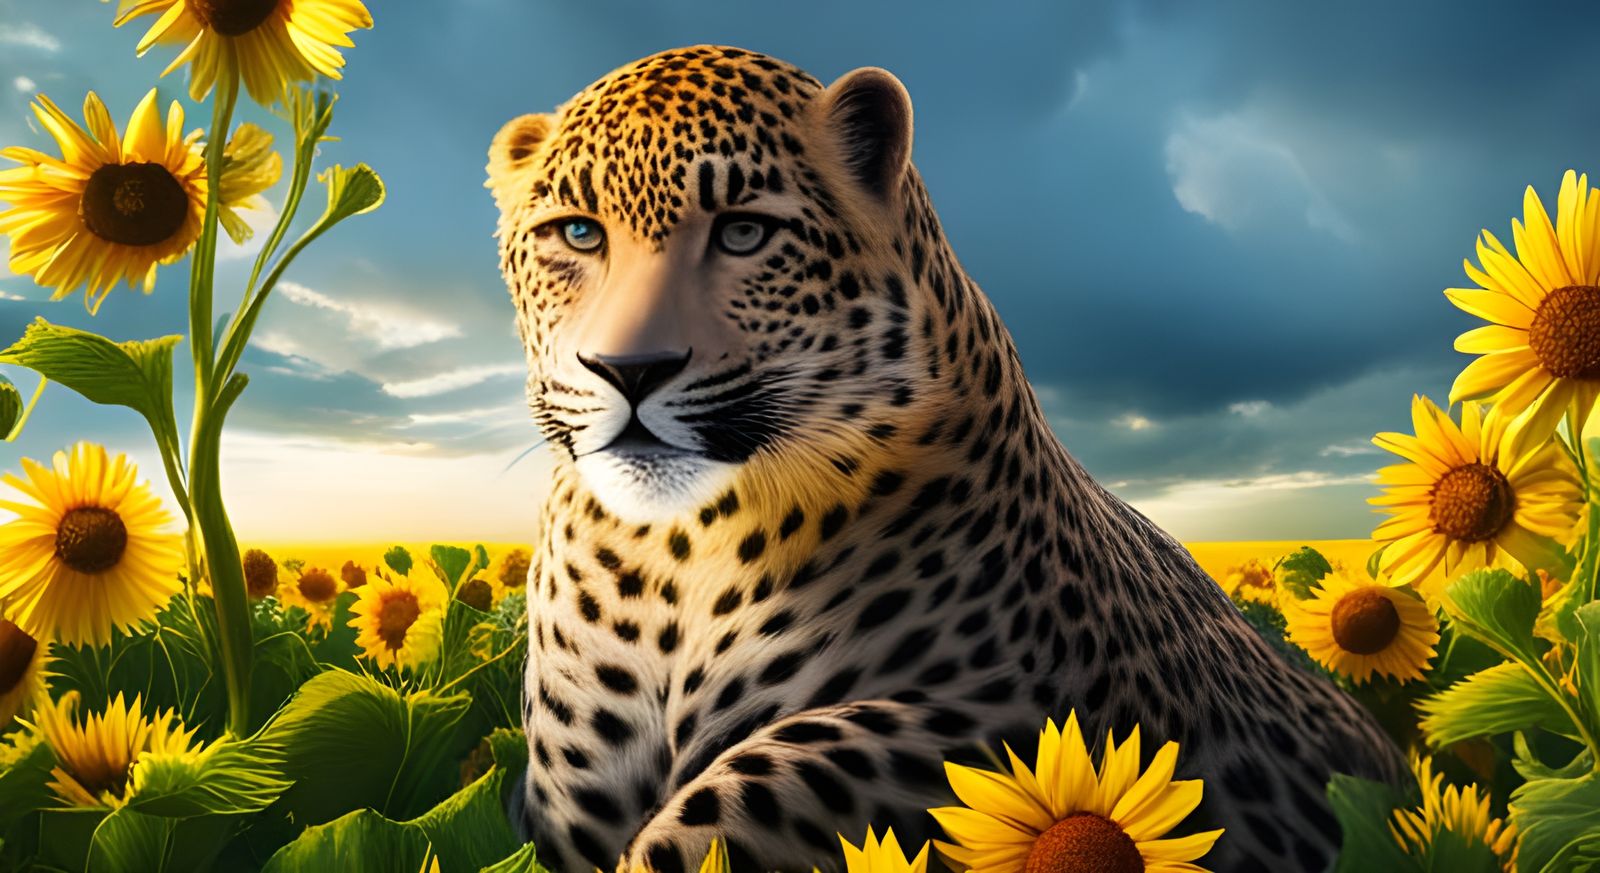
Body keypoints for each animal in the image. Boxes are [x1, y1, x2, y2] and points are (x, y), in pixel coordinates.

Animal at [485, 45, 1405, 873]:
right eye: (577, 234)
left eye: (745, 232)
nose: (629, 369)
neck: (673, 562)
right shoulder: (566, 798)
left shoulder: (1013, 715)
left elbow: (762, 780)